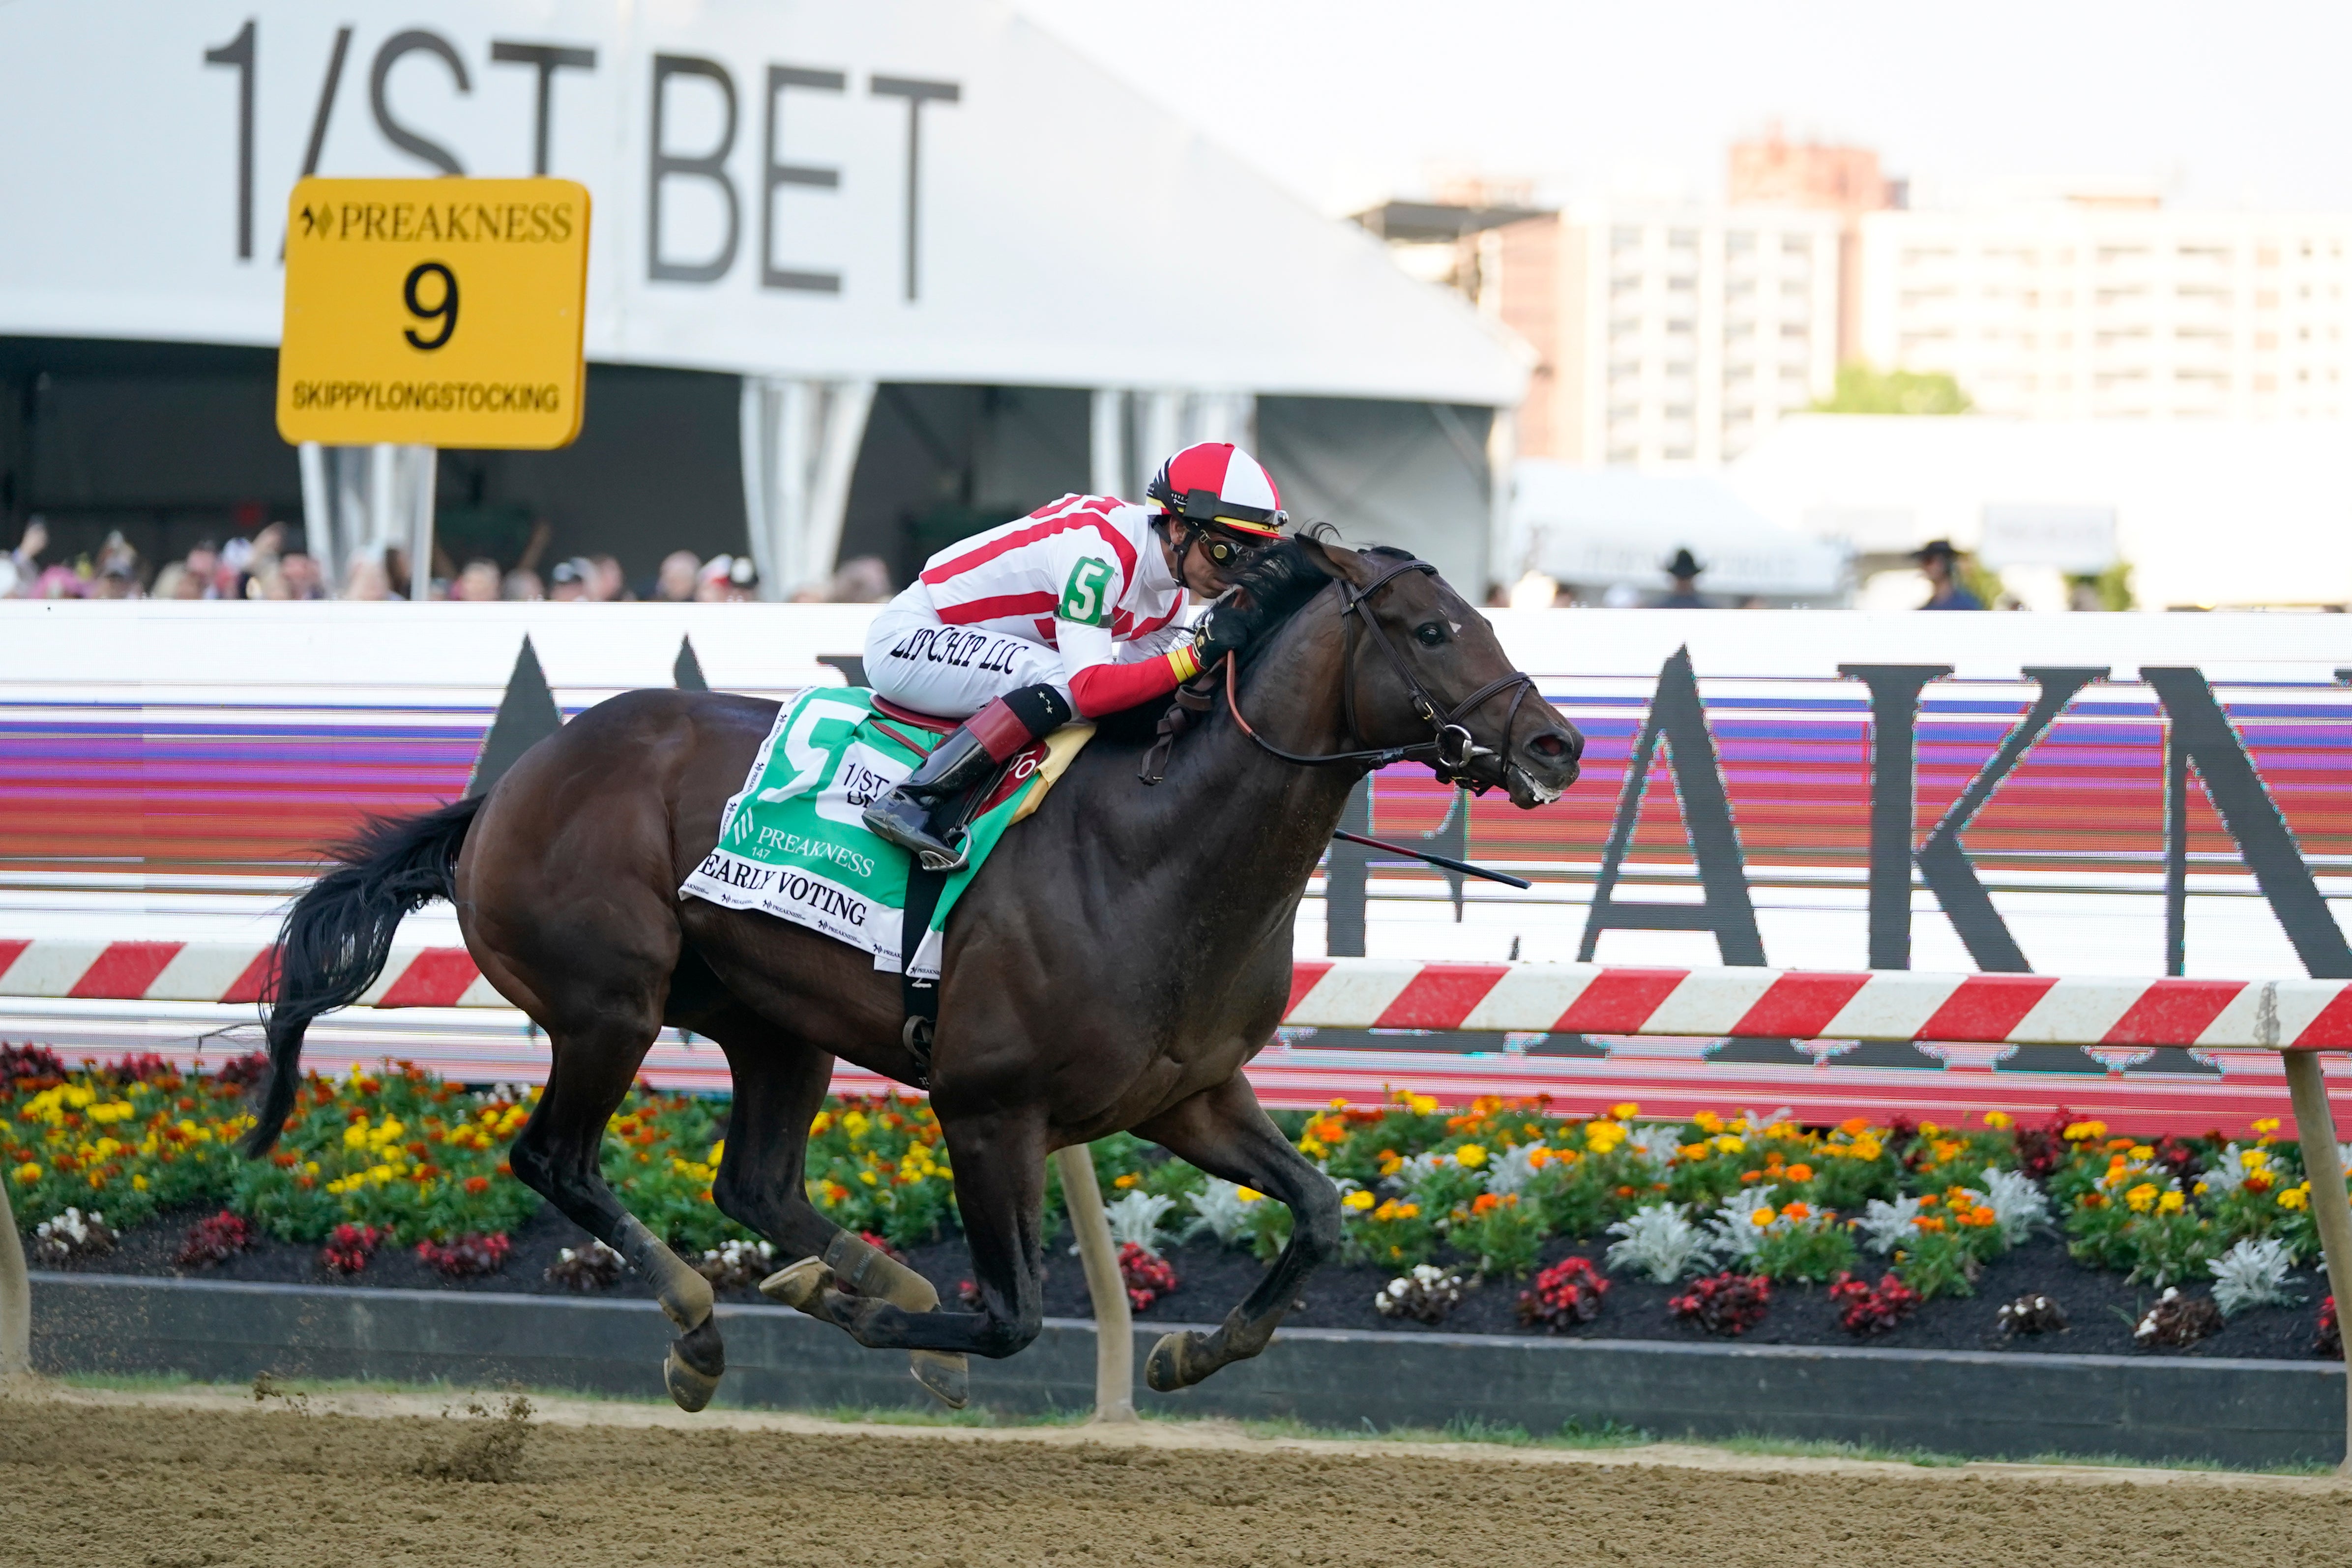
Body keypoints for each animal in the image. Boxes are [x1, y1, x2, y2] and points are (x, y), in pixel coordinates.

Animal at [239, 532, 1583, 1411]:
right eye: (1431, 628)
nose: (1554, 741)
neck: (1156, 849)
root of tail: (504, 788)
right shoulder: (988, 1106)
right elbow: (1012, 1311)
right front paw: (872, 1317)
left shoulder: (1188, 1094)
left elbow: (1317, 1209)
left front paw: (1181, 1354)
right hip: (607, 1003)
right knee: (556, 1159)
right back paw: (702, 1326)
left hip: (773, 1023)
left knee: (754, 1183)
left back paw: (839, 1269)